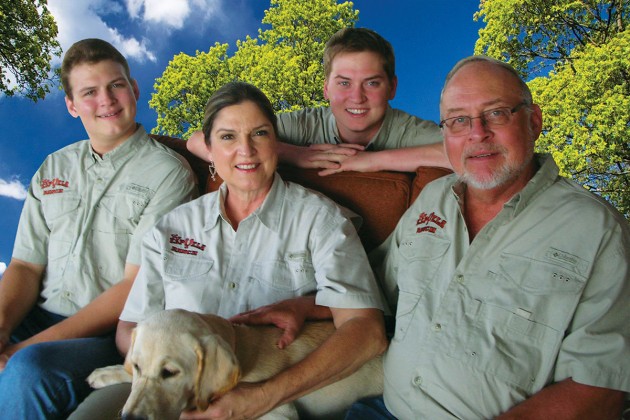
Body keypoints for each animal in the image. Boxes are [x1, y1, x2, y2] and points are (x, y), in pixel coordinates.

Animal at [89, 308, 386, 420]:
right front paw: (106, 373)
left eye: (170, 373)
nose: (129, 419)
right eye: (137, 366)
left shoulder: (281, 413)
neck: (239, 347)